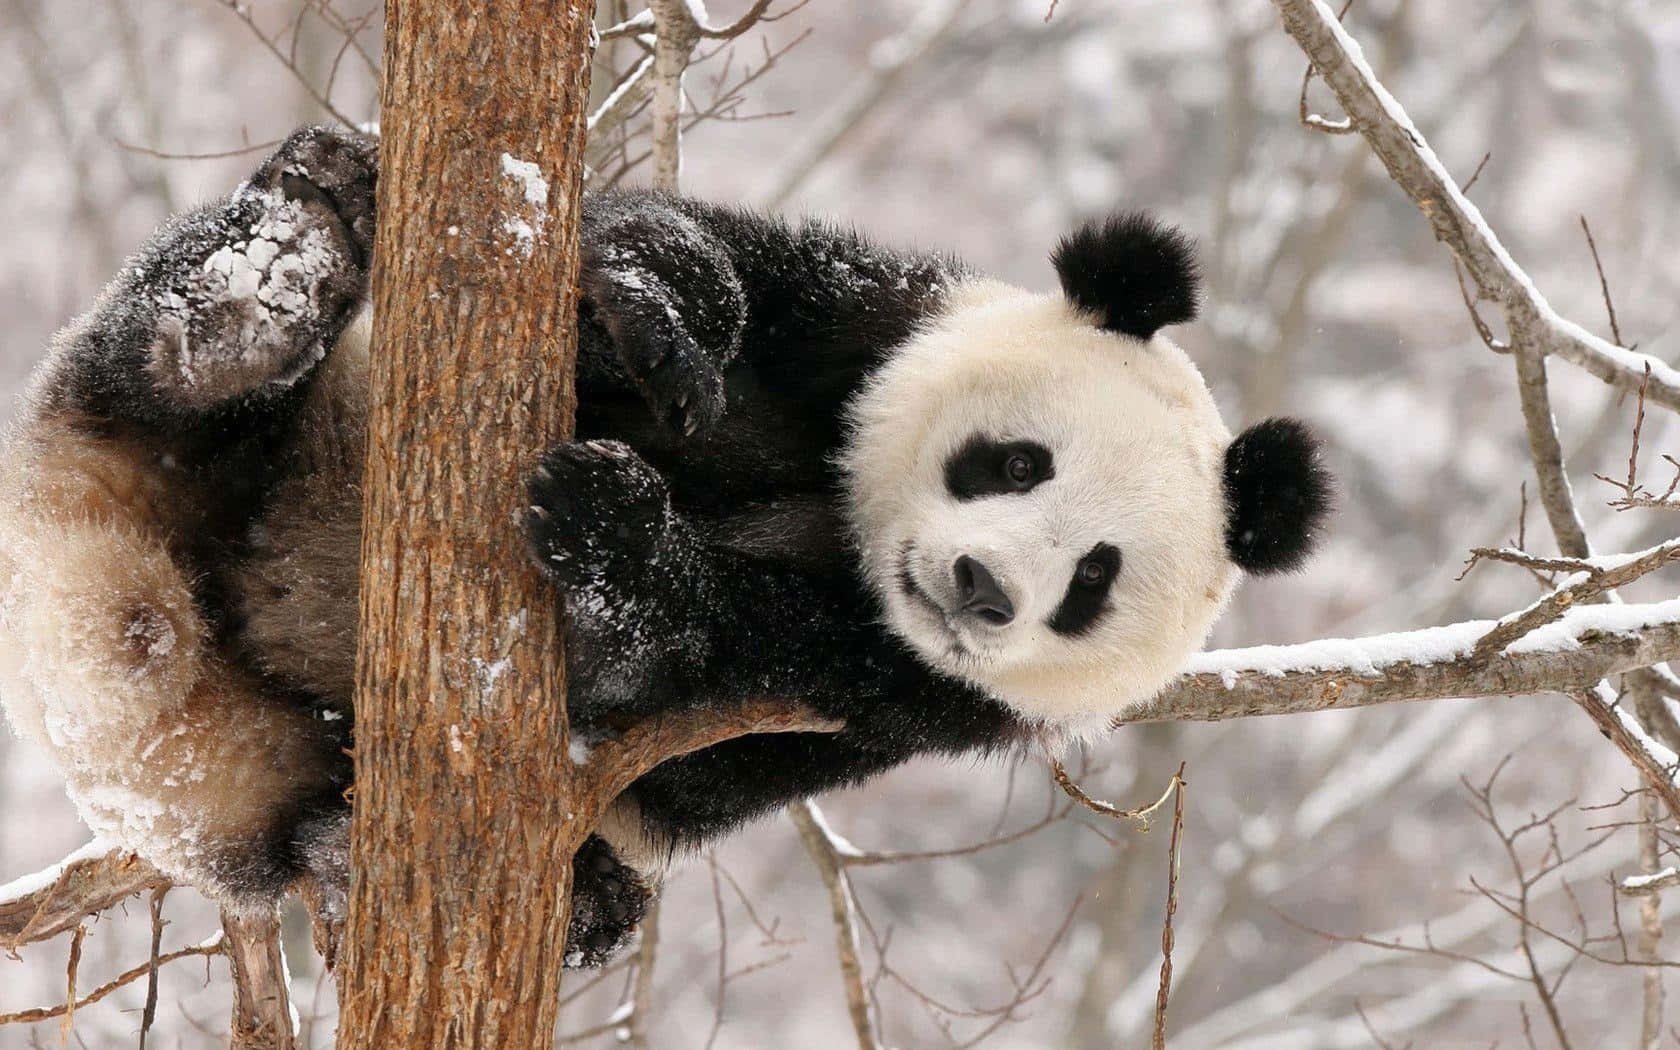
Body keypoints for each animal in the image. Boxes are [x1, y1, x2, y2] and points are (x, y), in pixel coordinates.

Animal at [0, 126, 1329, 966]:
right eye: (1013, 463)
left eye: (1093, 579)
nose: (980, 587)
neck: (850, 534)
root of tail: (120, 627)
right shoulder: (864, 323)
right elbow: (699, 267)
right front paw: (661, 311)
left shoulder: (911, 698)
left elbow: (693, 724)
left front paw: (614, 534)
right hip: (194, 432)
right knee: (152, 367)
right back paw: (266, 277)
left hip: (259, 762)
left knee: (296, 828)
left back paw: (403, 861)